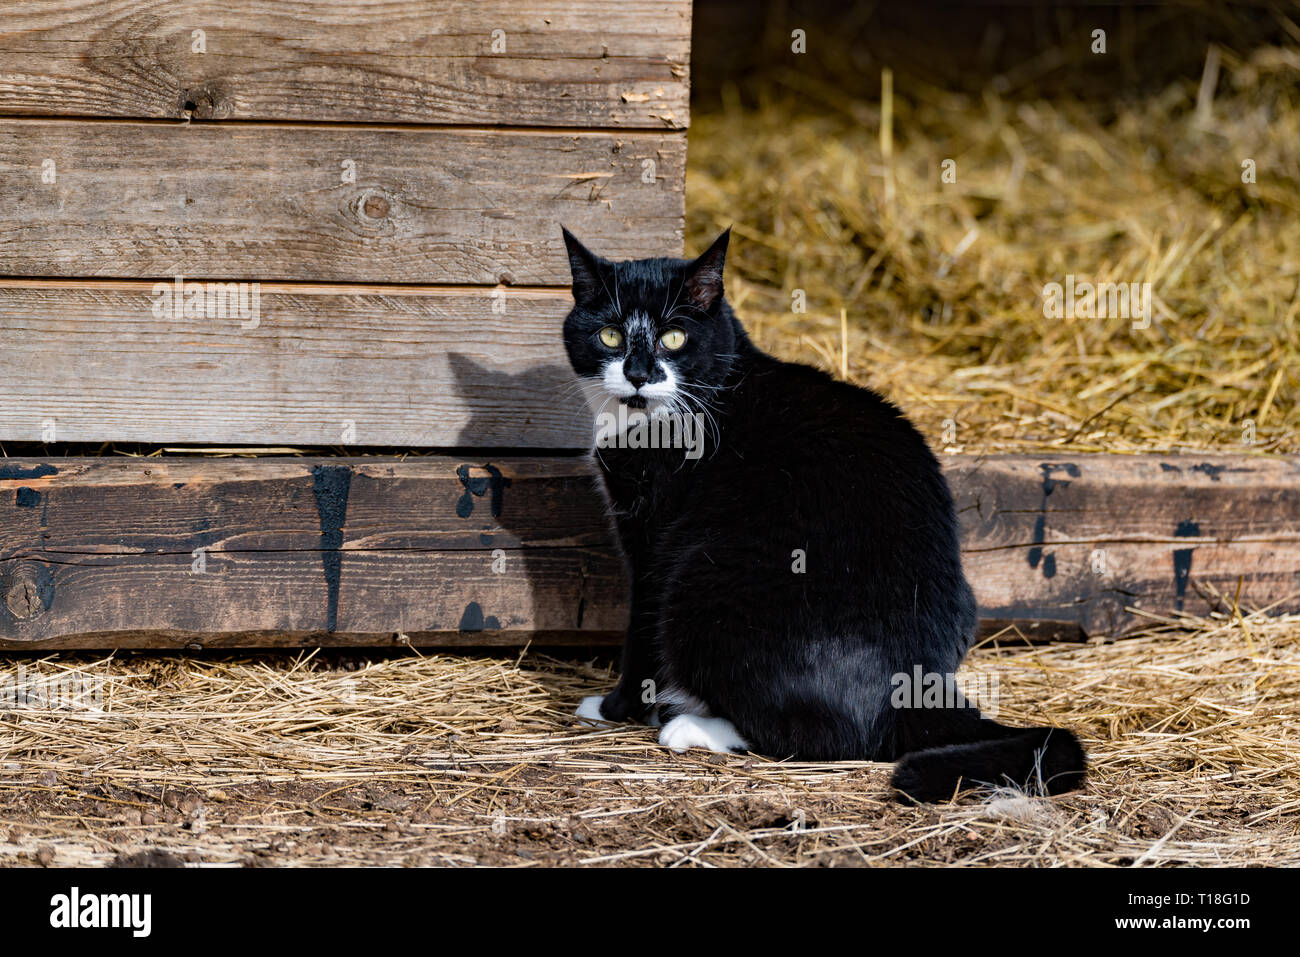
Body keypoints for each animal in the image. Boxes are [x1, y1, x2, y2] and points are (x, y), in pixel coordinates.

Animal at [564, 226, 1081, 800]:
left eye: (674, 338)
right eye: (610, 336)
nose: (636, 375)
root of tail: (915, 687)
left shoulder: (654, 537)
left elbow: (640, 629)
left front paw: (615, 708)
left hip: (700, 580)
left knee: (823, 735)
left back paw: (694, 726)